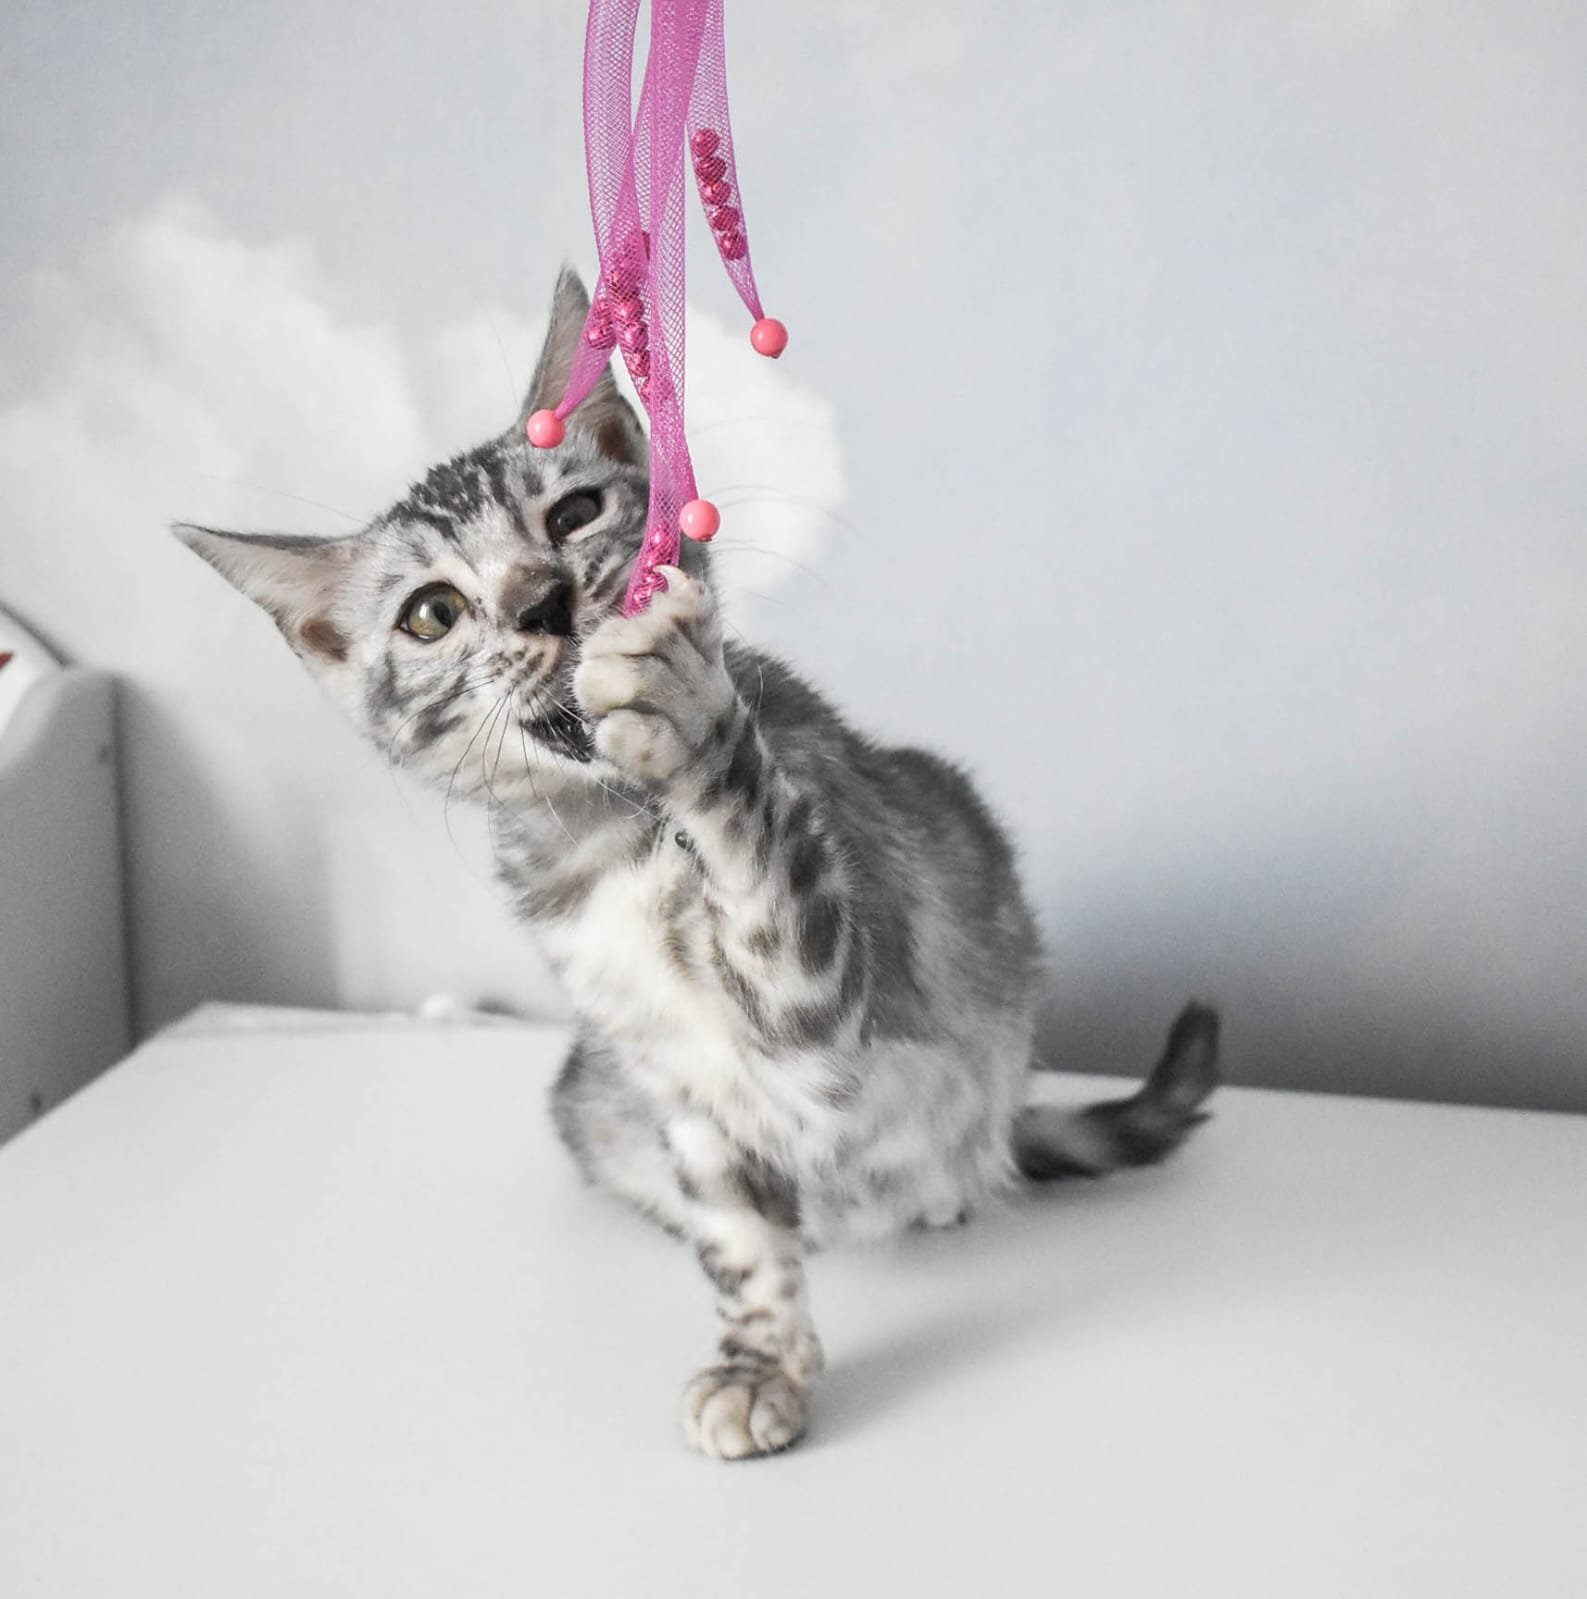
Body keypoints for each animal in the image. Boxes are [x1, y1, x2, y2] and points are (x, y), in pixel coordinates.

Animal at [177, 269, 1219, 1460]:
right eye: (432, 613)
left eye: (573, 513)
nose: (542, 600)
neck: (610, 836)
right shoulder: (683, 1082)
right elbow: (738, 1234)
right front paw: (760, 1358)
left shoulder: (830, 1008)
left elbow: (760, 857)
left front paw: (689, 709)